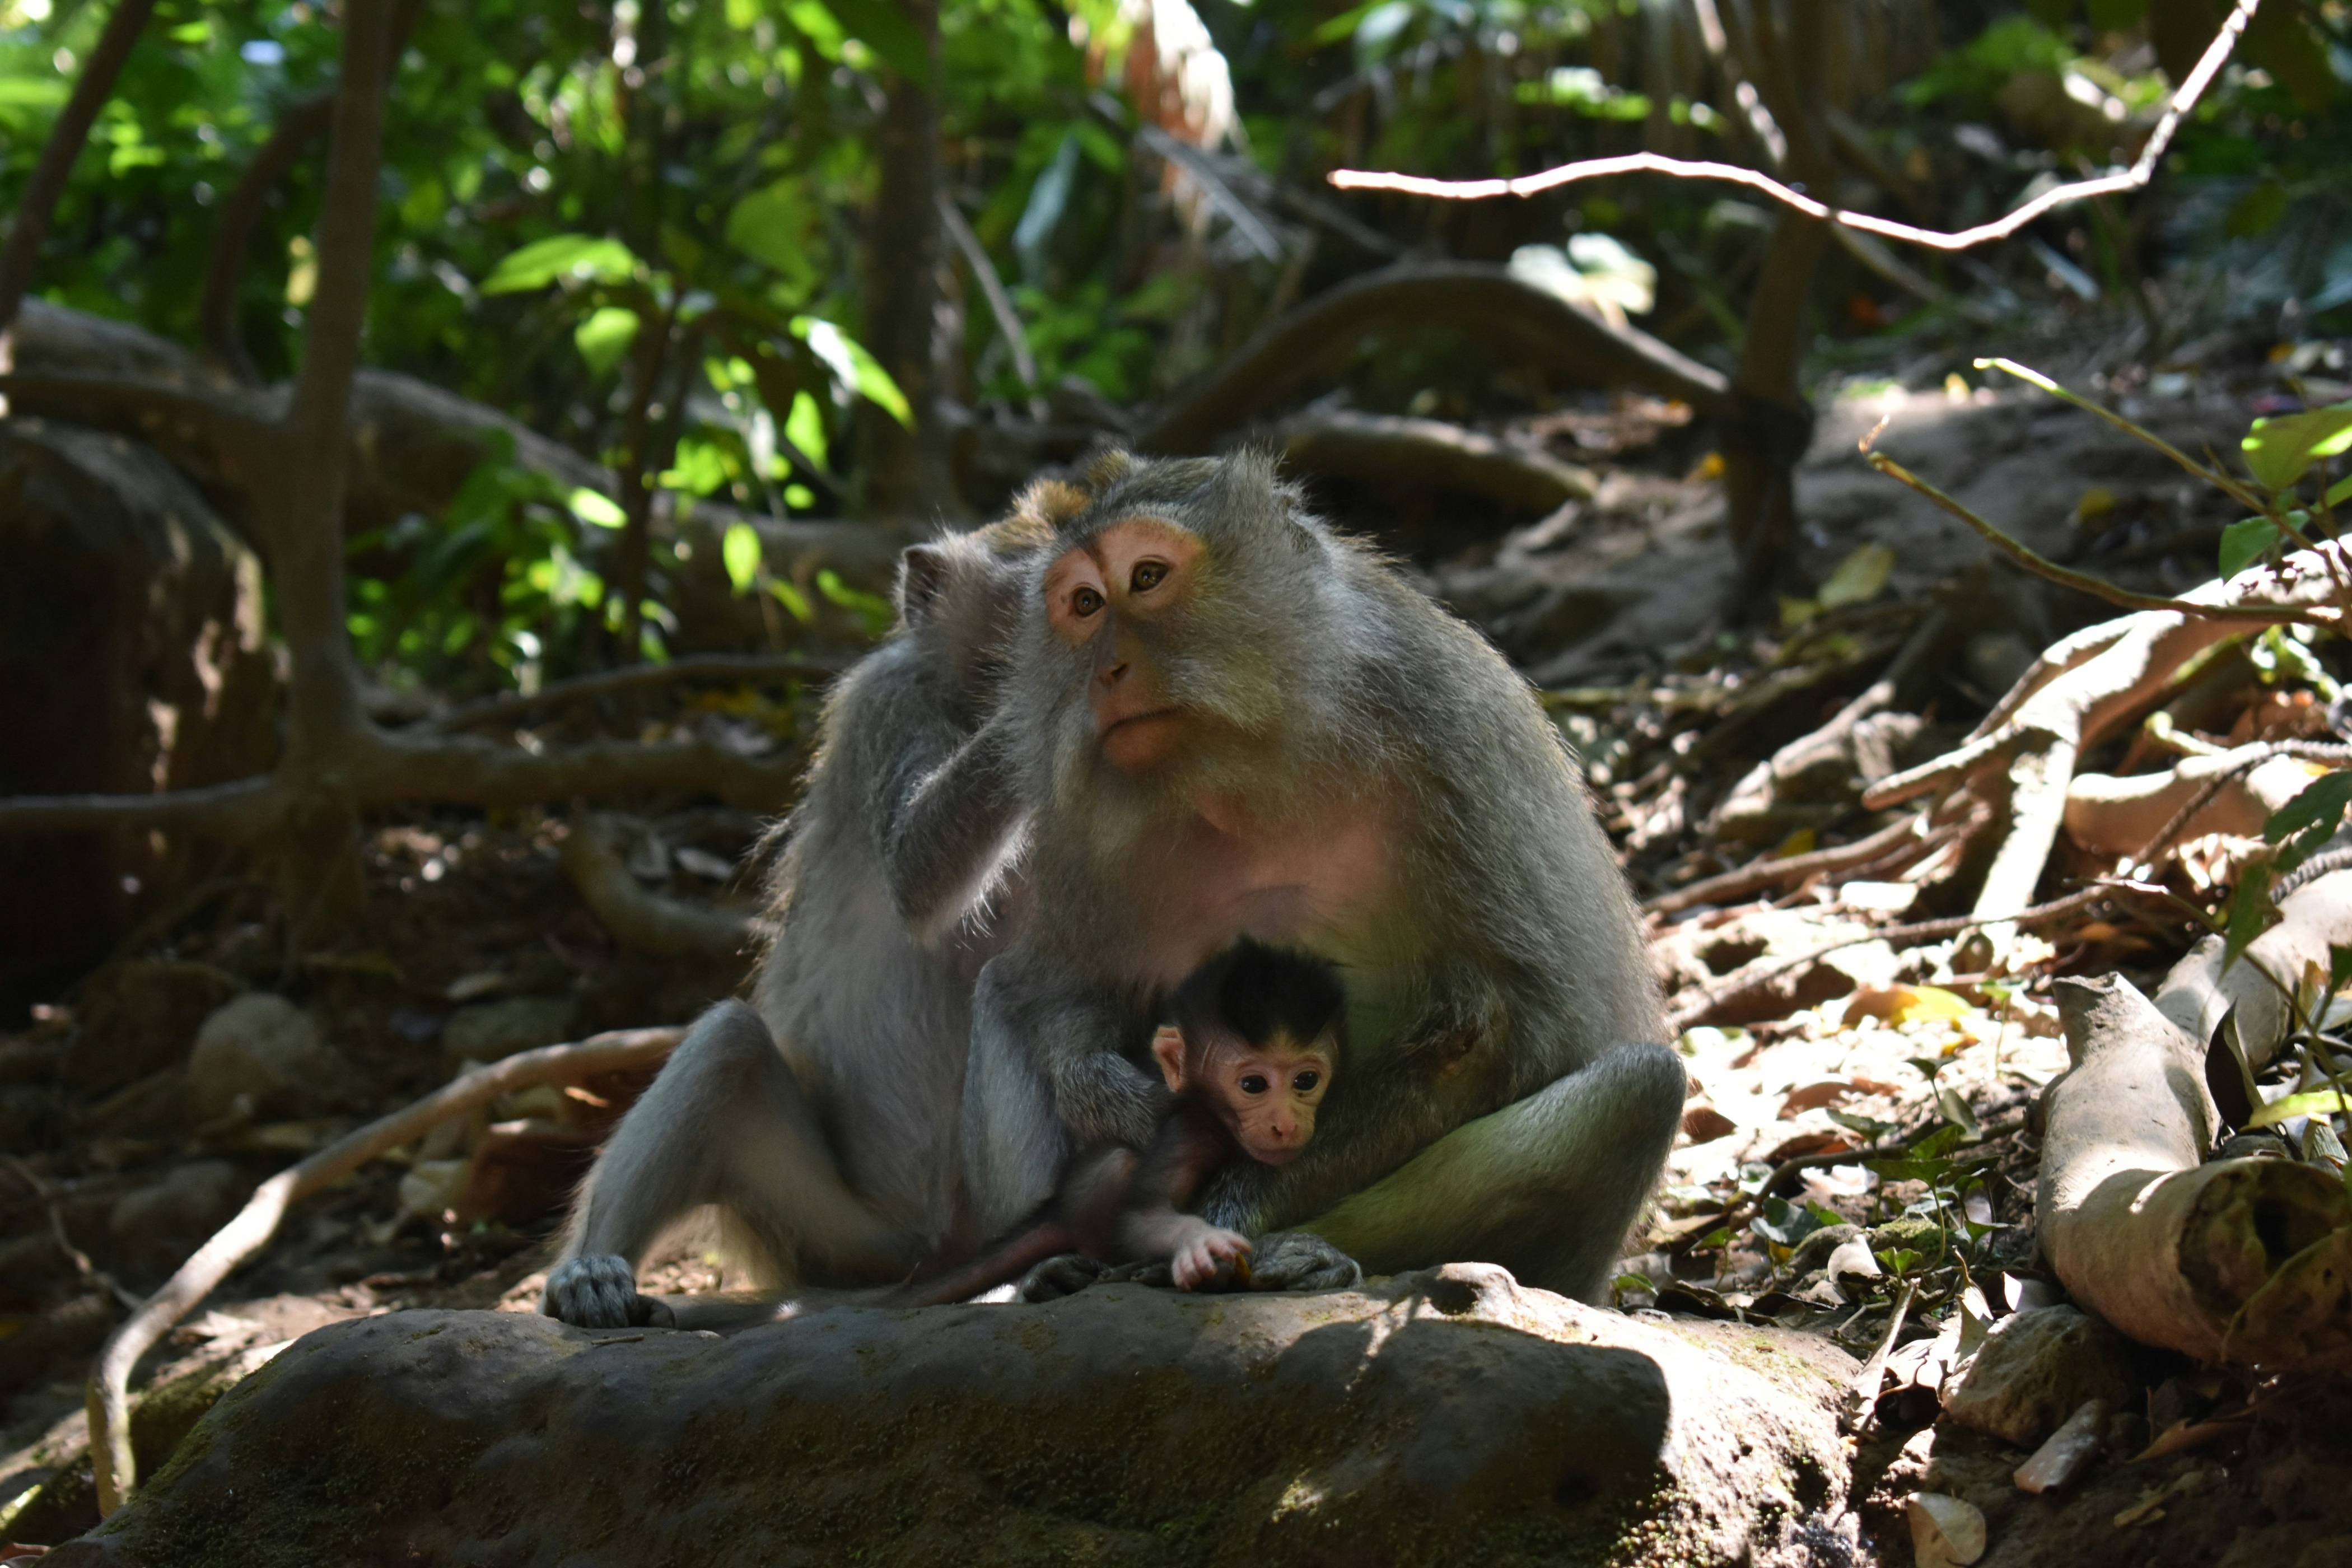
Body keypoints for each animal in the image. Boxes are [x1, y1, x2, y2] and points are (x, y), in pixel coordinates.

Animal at [542, 513, 1048, 1330]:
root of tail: (943, 1256)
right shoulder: (887, 706)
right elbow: (919, 875)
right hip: (836, 1236)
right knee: (728, 1049)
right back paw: (589, 1272)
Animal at [892, 938, 1343, 1305]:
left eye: (1306, 1081)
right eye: (1253, 1085)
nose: (1285, 1124)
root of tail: (1058, 1206)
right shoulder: (1190, 1128)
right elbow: (1143, 1214)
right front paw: (1198, 1242)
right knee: (1118, 1165)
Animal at [945, 448, 1685, 1303]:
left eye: (1148, 576)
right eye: (1086, 605)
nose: (1109, 670)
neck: (1248, 766)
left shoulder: (1446, 730)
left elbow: (1484, 1035)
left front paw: (1230, 1208)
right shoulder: (1072, 823)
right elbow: (1066, 990)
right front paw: (1109, 1095)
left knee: (1640, 1091)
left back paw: (1297, 1257)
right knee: (1003, 989)